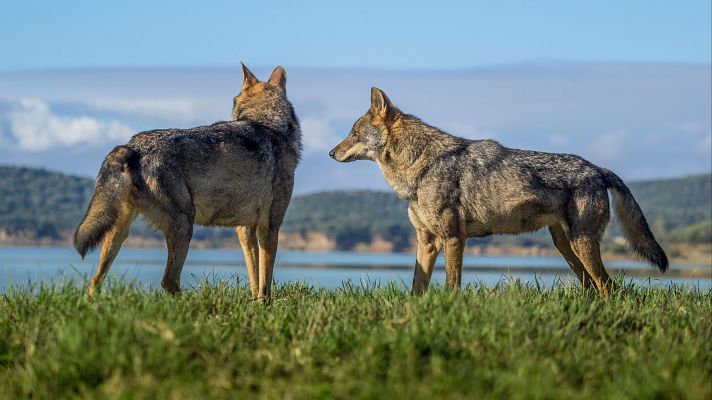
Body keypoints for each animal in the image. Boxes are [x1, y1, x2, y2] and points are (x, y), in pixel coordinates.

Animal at [74, 64, 301, 299]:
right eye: (234, 101)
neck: (268, 125)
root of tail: (132, 146)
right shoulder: (270, 227)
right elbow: (266, 283)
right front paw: (265, 305)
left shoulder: (245, 230)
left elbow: (255, 279)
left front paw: (254, 303)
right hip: (184, 226)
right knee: (168, 281)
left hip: (119, 234)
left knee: (95, 280)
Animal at [330, 87, 667, 296]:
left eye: (354, 133)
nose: (331, 153)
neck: (421, 167)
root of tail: (598, 168)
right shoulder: (426, 241)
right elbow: (417, 288)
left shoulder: (453, 238)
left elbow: (452, 286)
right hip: (567, 247)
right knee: (594, 287)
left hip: (580, 244)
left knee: (609, 287)